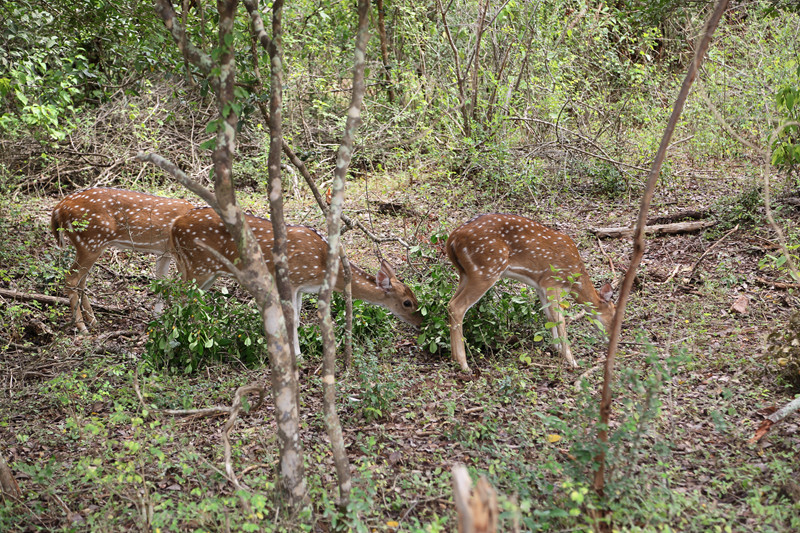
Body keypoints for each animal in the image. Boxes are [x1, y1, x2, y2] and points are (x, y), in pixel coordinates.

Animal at [50, 187, 195, 332]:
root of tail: (58, 208)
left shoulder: (164, 252)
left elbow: (161, 282)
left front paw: (158, 319)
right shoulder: (180, 253)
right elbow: (185, 287)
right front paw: (183, 321)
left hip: (88, 245)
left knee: (81, 281)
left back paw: (93, 321)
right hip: (90, 242)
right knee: (71, 278)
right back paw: (82, 327)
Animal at [170, 207, 424, 354]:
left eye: (414, 296)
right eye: (407, 302)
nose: (421, 323)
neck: (322, 265)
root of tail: (174, 225)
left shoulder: (302, 288)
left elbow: (298, 318)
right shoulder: (292, 279)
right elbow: (290, 318)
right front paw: (297, 356)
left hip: (204, 271)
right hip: (197, 265)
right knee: (179, 296)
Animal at [444, 214, 612, 372]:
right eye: (614, 315)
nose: (611, 341)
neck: (575, 278)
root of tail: (452, 239)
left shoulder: (541, 286)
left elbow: (550, 317)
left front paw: (558, 349)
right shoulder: (552, 282)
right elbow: (560, 319)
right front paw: (572, 361)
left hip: (465, 273)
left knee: (450, 303)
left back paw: (454, 358)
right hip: (486, 270)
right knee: (457, 306)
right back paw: (464, 364)